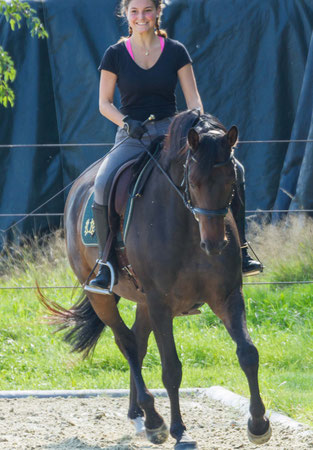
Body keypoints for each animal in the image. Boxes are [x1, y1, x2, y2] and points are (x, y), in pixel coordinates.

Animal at [40, 110, 270, 450]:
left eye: (232, 182)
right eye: (193, 182)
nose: (215, 245)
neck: (189, 228)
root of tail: (78, 189)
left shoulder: (227, 296)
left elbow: (248, 354)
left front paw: (258, 424)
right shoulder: (161, 303)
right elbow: (171, 369)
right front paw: (180, 432)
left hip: (144, 301)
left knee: (138, 340)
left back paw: (138, 415)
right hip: (103, 295)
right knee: (126, 343)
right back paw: (153, 420)